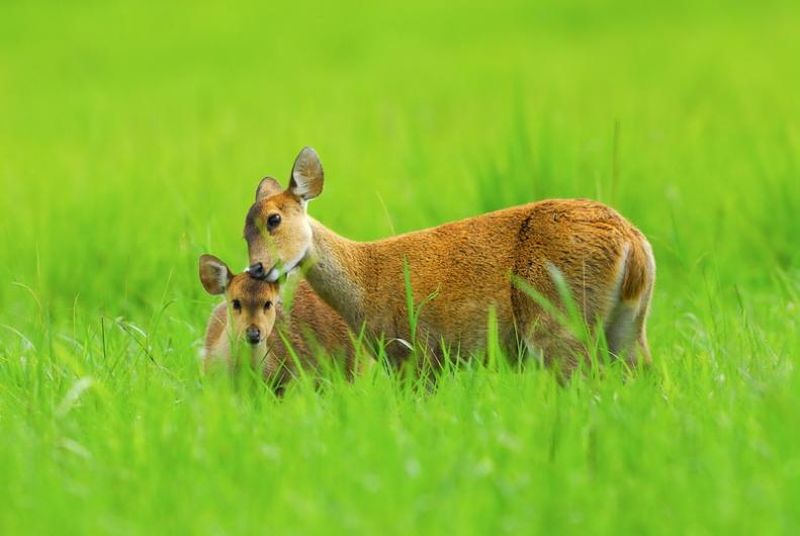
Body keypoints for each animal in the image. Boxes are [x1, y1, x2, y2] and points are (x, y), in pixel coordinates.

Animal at [245, 146, 656, 372]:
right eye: (243, 230)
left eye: (274, 219)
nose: (257, 268)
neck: (364, 284)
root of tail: (634, 245)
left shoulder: (413, 352)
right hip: (629, 324)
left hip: (558, 319)